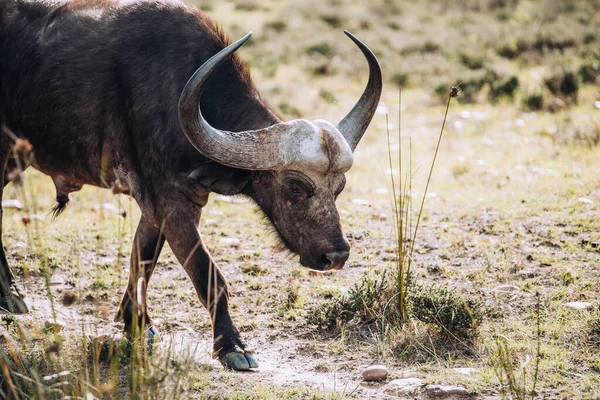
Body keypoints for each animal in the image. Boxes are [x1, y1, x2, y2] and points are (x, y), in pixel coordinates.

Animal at [0, 0, 382, 372]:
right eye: (295, 188)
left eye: (339, 188)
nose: (335, 256)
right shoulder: (172, 204)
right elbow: (209, 276)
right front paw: (232, 346)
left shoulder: (163, 205)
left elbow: (142, 260)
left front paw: (136, 322)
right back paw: (12, 296)